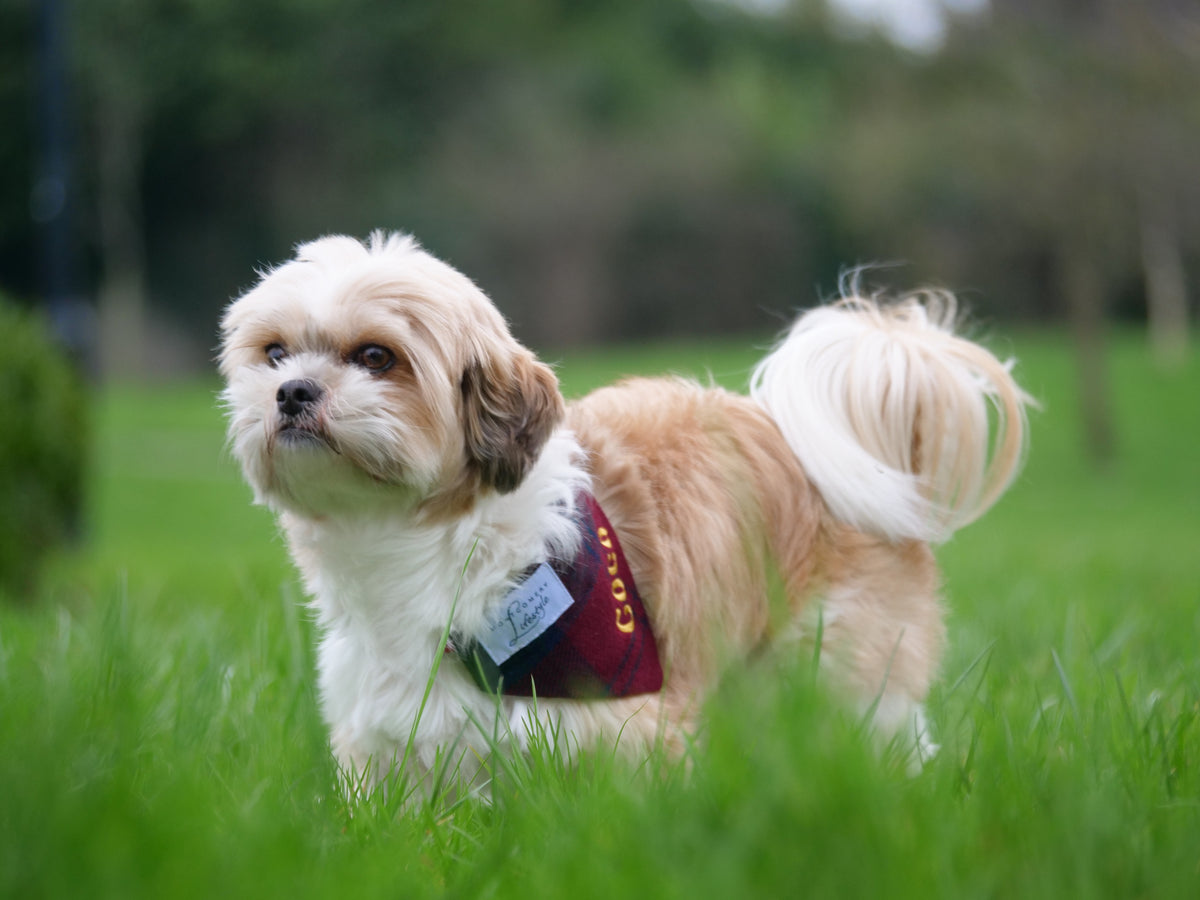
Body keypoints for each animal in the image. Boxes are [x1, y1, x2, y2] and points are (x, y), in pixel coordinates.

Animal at [218, 232, 1032, 796]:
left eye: (377, 357)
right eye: (275, 353)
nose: (293, 392)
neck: (421, 548)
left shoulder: (622, 726)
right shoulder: (392, 741)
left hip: (844, 671)